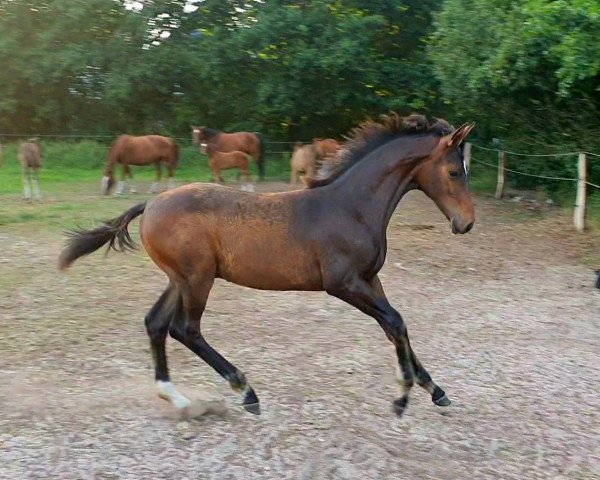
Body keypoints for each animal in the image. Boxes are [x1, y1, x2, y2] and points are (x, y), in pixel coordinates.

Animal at [58, 114, 476, 418]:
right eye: (455, 172)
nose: (467, 223)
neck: (351, 207)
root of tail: (151, 204)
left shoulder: (370, 280)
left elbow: (395, 327)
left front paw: (435, 390)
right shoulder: (343, 283)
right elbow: (395, 322)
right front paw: (403, 396)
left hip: (180, 278)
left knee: (156, 323)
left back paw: (176, 398)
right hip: (197, 278)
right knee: (186, 329)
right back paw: (246, 391)